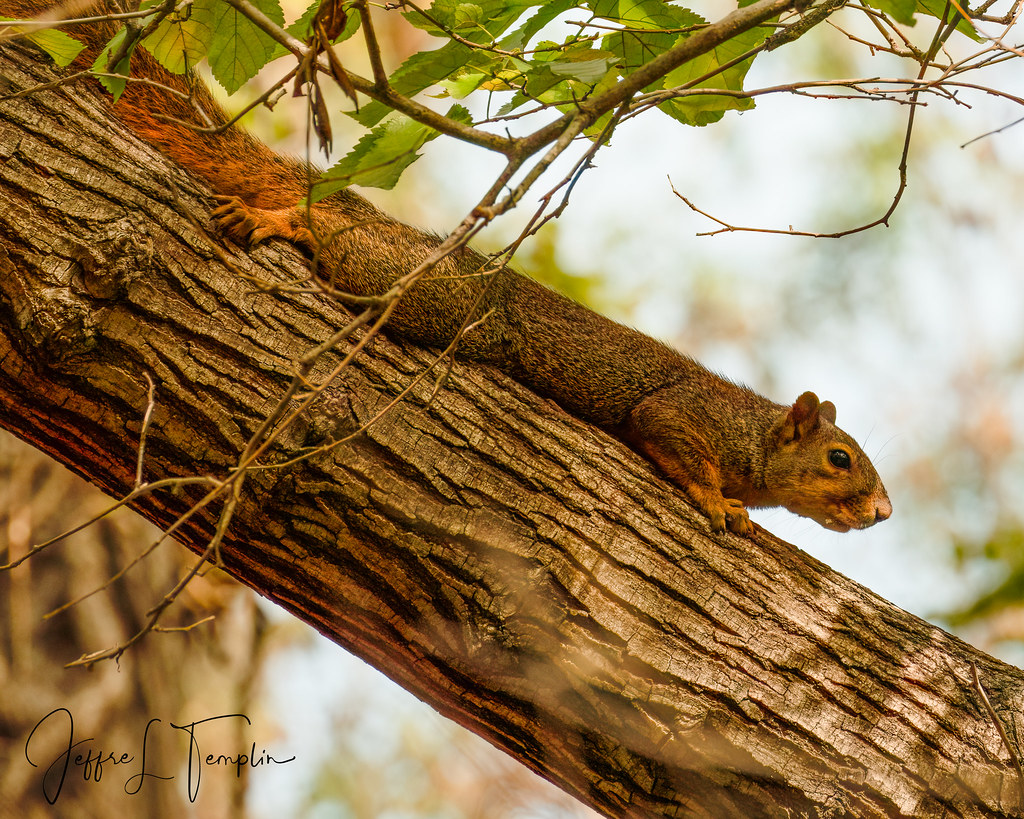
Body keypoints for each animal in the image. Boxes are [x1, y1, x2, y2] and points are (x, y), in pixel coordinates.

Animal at [0, 0, 892, 536]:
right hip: (423, 291)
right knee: (330, 235)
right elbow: (671, 438)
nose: (882, 511)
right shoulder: (682, 413)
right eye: (840, 458)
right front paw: (720, 502)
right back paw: (282, 218)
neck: (753, 429)